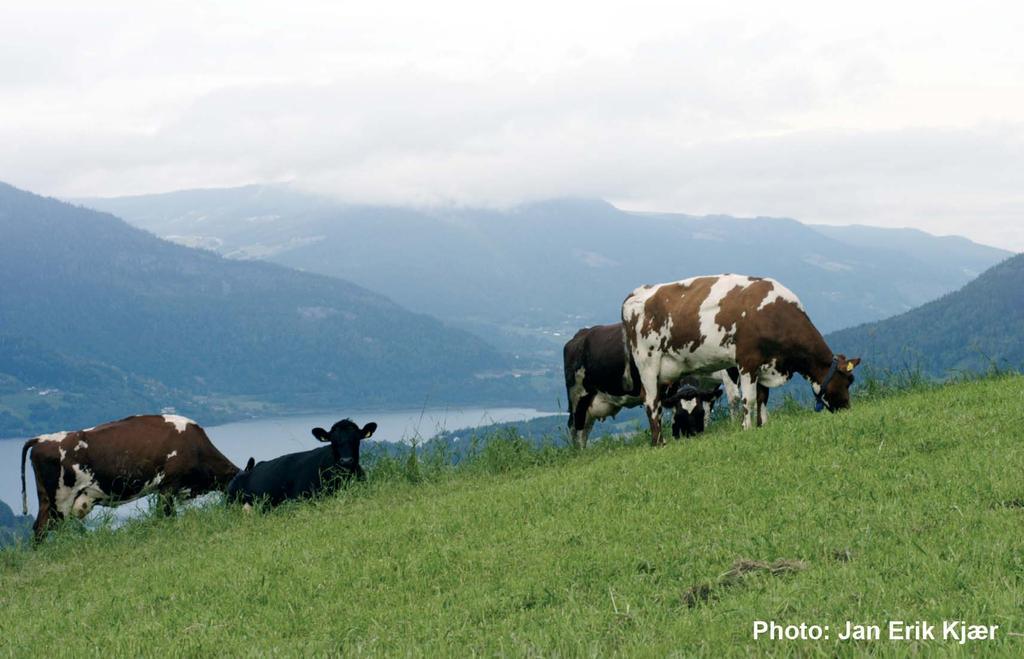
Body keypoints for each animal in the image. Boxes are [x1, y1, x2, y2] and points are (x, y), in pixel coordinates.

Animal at [20, 417, 237, 540]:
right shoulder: (168, 485)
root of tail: (42, 439)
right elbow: (166, 515)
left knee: (38, 528)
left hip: (47, 499)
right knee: (46, 528)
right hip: (61, 501)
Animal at [618, 270, 860, 446]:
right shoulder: (746, 362)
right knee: (652, 403)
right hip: (648, 364)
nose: (847, 408)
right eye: (847, 381)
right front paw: (747, 427)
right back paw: (659, 442)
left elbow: (762, 397)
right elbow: (749, 399)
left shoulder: (766, 364)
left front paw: (763, 424)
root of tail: (637, 293)